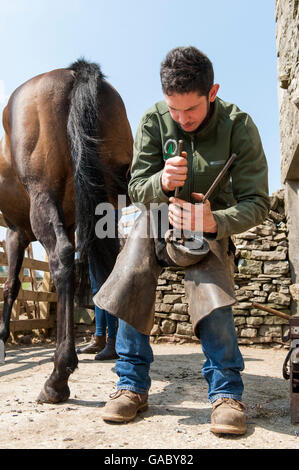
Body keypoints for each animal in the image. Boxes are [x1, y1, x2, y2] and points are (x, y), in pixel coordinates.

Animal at [0, 58, 134, 402]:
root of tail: (75, 72)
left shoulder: (15, 232)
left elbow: (11, 286)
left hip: (43, 196)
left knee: (61, 259)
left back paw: (58, 375)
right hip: (106, 201)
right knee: (109, 269)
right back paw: (112, 352)